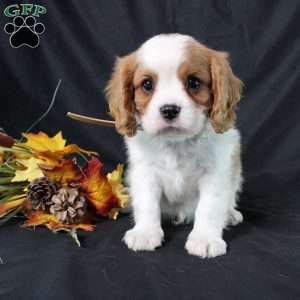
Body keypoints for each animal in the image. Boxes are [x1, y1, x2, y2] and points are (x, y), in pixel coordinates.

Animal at [105, 33, 244, 258]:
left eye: (194, 82)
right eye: (147, 85)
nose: (169, 109)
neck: (175, 144)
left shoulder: (216, 174)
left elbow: (210, 207)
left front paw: (205, 238)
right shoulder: (145, 173)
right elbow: (147, 204)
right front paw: (145, 232)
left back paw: (230, 214)